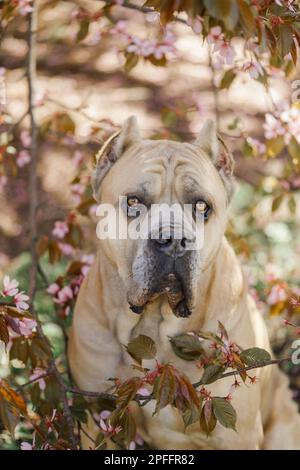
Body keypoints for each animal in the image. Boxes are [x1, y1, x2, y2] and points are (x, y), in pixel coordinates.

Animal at [68, 115, 300, 450]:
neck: (155, 321)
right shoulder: (93, 415)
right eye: (134, 202)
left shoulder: (237, 435)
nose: (175, 240)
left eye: (202, 206)